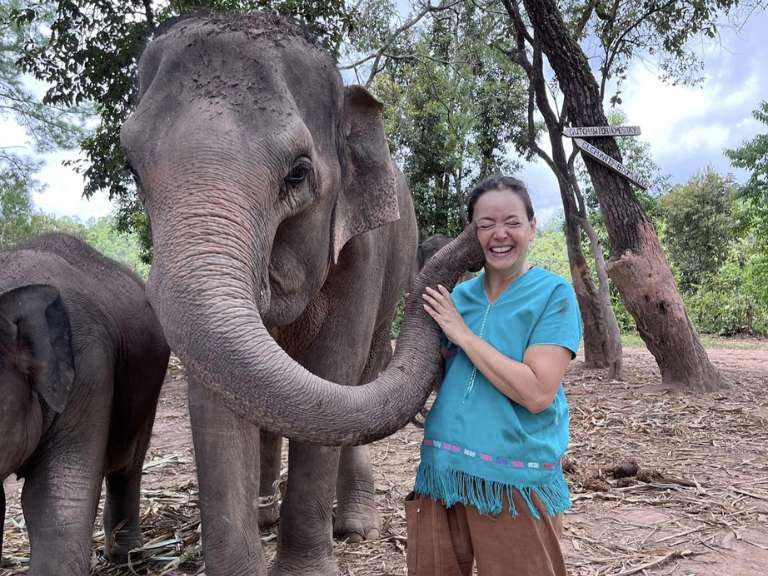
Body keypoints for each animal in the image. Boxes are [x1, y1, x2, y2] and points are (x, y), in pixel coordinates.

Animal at [120, 10, 480, 576]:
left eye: (298, 172)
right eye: (130, 167)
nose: (476, 235)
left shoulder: (363, 249)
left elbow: (335, 367)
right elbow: (217, 392)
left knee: (364, 372)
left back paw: (354, 525)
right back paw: (265, 511)